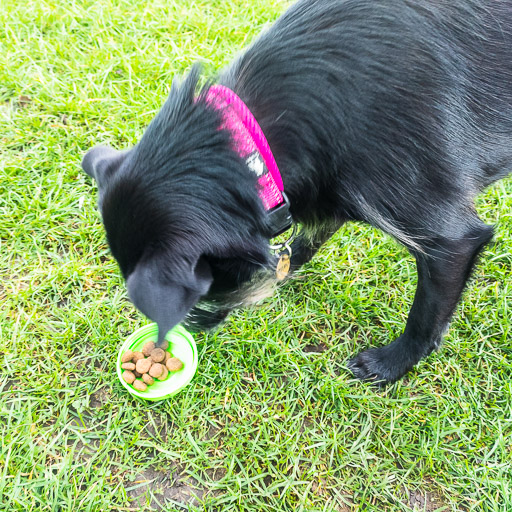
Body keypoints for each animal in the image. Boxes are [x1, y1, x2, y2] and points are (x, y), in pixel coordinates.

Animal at [83, 1, 512, 384]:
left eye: (203, 287)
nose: (184, 329)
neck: (252, 145)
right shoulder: (330, 191)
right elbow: (305, 240)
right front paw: (285, 269)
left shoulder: (450, 240)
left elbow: (425, 317)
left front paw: (391, 364)